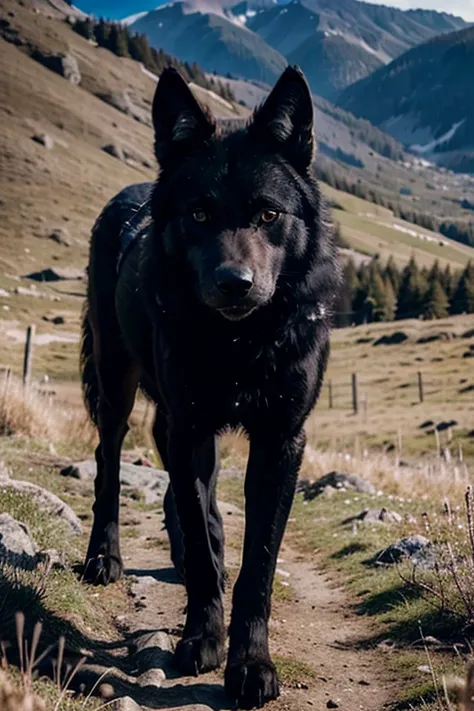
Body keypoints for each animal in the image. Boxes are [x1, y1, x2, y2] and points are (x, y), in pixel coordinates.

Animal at [80, 65, 340, 708]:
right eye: (199, 215)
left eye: (269, 215)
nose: (233, 283)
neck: (240, 342)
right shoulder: (193, 426)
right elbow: (199, 544)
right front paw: (201, 640)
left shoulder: (279, 441)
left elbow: (257, 565)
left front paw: (251, 664)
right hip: (116, 383)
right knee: (109, 460)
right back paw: (104, 557)